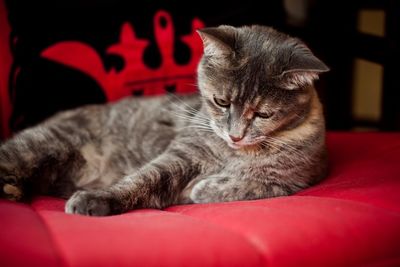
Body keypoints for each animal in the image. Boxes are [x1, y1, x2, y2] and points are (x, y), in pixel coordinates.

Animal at [0, 25, 328, 217]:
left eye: (263, 114)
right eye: (221, 102)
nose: (235, 135)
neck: (235, 152)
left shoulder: (294, 180)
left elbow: (252, 186)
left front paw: (205, 188)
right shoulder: (182, 155)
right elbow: (144, 179)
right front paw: (97, 198)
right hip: (46, 142)